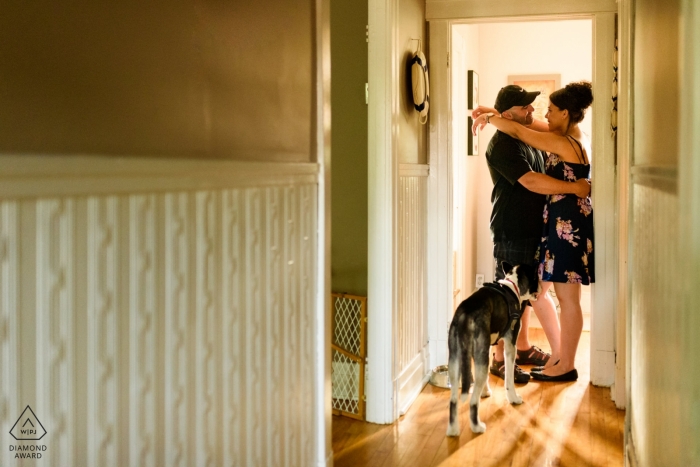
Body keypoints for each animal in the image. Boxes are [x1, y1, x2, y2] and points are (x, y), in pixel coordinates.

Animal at [446, 264, 540, 436]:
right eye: (537, 277)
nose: (542, 287)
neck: (513, 287)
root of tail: (466, 314)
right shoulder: (510, 345)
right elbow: (509, 379)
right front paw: (514, 398)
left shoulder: (486, 347)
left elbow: (487, 378)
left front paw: (486, 392)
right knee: (473, 401)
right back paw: (477, 427)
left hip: (455, 360)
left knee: (453, 400)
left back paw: (453, 430)